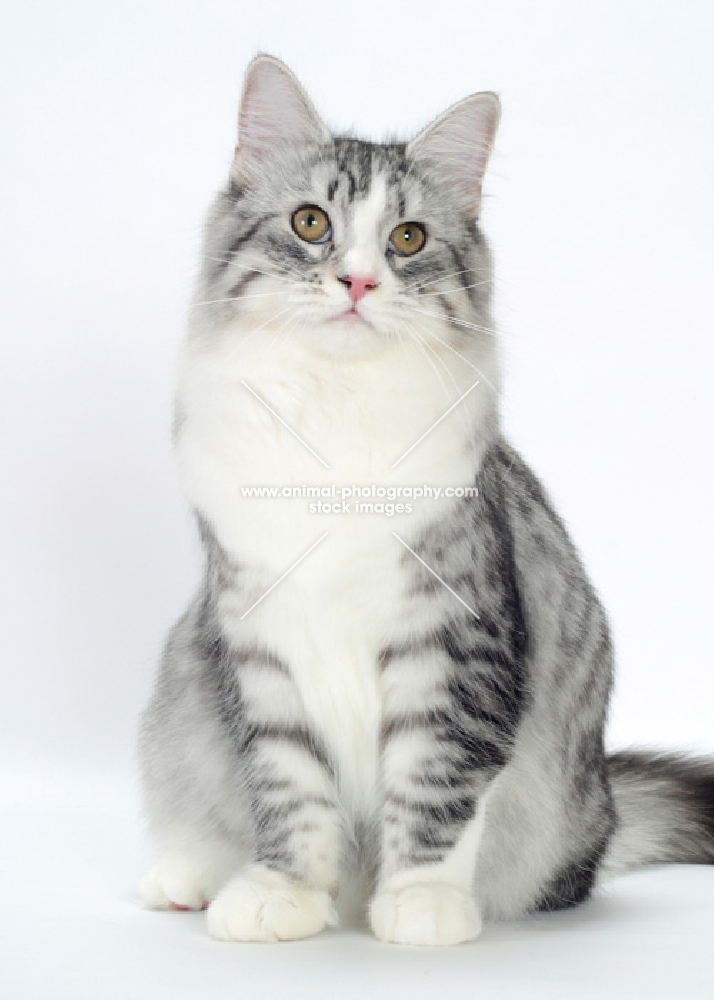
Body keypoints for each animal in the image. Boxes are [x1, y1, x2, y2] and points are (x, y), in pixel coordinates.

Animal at [138, 54, 712, 944]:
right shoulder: (259, 644)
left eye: (407, 238)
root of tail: (607, 811)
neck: (336, 417)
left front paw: (420, 904)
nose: (358, 280)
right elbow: (289, 789)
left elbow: (435, 785)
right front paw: (286, 895)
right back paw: (195, 876)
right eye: (311, 223)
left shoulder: (454, 639)